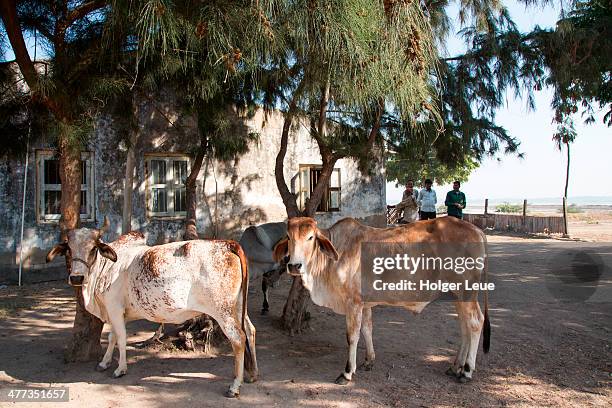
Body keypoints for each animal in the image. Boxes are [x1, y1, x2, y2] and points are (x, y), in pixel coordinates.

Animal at [46, 218, 256, 396]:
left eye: (92, 249)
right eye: (69, 249)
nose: (76, 278)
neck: (107, 267)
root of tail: (227, 244)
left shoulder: (114, 308)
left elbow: (120, 337)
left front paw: (120, 369)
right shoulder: (116, 312)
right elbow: (112, 336)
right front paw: (104, 362)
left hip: (222, 311)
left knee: (238, 338)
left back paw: (235, 385)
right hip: (238, 307)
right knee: (250, 331)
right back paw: (252, 374)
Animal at [274, 217, 492, 386]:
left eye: (310, 237)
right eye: (289, 237)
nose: (294, 265)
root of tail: (477, 231)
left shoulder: (353, 303)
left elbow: (352, 336)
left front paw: (347, 372)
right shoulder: (365, 304)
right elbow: (367, 329)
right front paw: (369, 361)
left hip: (466, 291)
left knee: (475, 323)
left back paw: (466, 371)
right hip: (458, 296)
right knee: (464, 327)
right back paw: (456, 366)